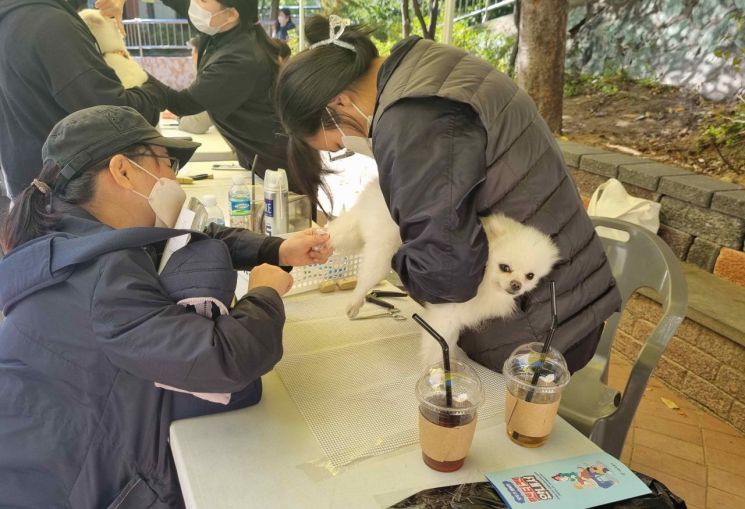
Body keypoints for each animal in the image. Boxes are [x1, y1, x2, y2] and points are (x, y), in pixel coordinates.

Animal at [326, 181, 560, 364]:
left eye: (530, 276)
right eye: (505, 267)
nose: (516, 285)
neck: (484, 281)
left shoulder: (457, 316)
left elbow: (450, 341)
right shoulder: (446, 314)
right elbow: (437, 347)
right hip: (382, 251)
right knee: (365, 278)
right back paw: (354, 303)